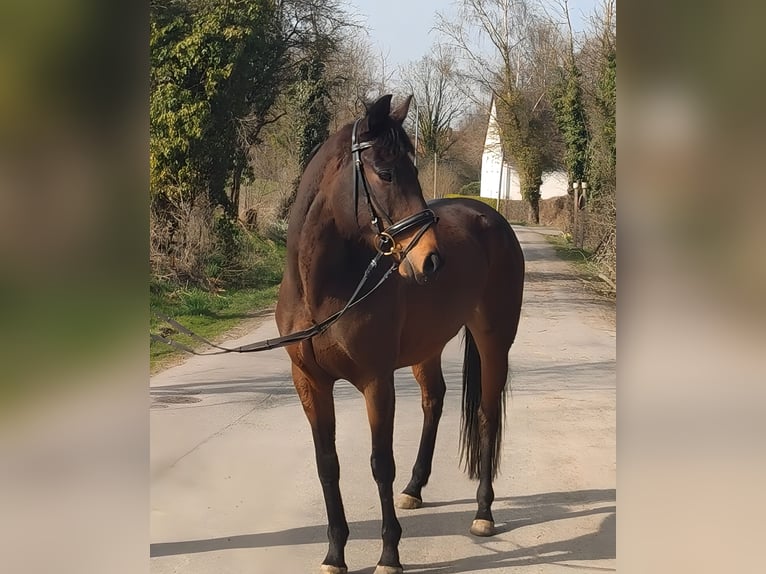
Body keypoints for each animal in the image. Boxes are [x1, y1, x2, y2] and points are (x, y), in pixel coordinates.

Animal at [275, 94, 524, 574]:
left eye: (414, 170)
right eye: (386, 172)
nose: (430, 261)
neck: (324, 289)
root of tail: (491, 217)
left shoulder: (377, 381)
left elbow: (380, 464)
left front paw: (389, 554)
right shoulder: (310, 382)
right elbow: (327, 465)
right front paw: (334, 554)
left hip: (494, 342)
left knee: (487, 415)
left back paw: (483, 512)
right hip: (427, 348)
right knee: (434, 400)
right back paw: (414, 488)